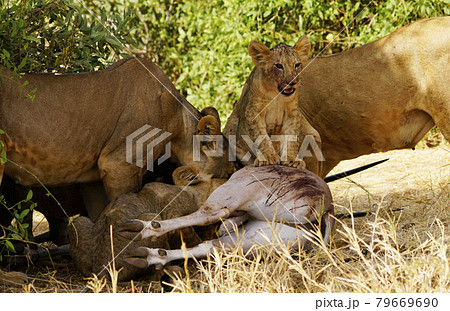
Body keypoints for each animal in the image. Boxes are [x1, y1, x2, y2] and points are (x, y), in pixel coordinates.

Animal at [0, 58, 237, 219]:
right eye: (228, 174)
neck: (178, 121)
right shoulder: (118, 165)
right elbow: (124, 207)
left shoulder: (93, 180)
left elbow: (99, 217)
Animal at [221, 38, 320, 173]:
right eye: (278, 66)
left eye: (297, 64)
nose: (292, 82)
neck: (276, 94)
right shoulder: (252, 112)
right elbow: (261, 137)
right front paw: (268, 157)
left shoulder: (292, 113)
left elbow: (292, 137)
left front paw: (291, 159)